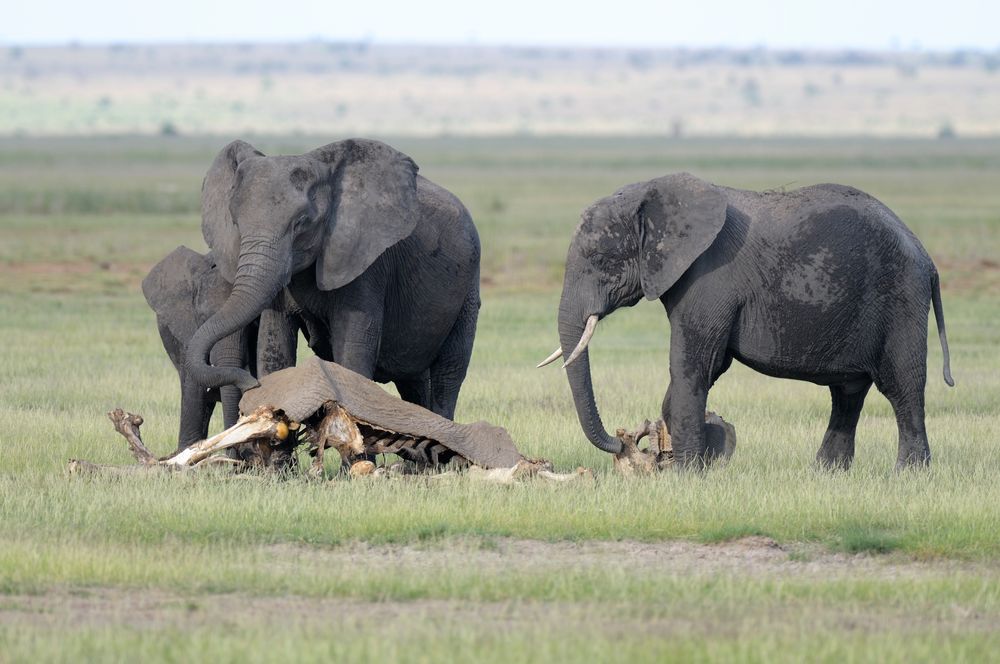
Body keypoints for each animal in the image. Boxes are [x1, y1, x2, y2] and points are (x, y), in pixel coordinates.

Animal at [188, 139, 484, 426]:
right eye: (235, 223)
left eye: (301, 222)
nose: (251, 384)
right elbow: (275, 350)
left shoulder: (366, 262)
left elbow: (353, 355)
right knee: (414, 379)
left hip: (468, 288)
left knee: (449, 373)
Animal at [544, 174, 956, 470]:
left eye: (600, 259)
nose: (624, 441)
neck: (654, 192)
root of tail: (927, 257)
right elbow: (706, 368)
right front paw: (698, 459)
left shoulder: (708, 278)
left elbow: (694, 365)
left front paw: (685, 473)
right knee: (847, 394)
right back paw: (827, 473)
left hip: (901, 298)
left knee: (902, 386)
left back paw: (908, 475)